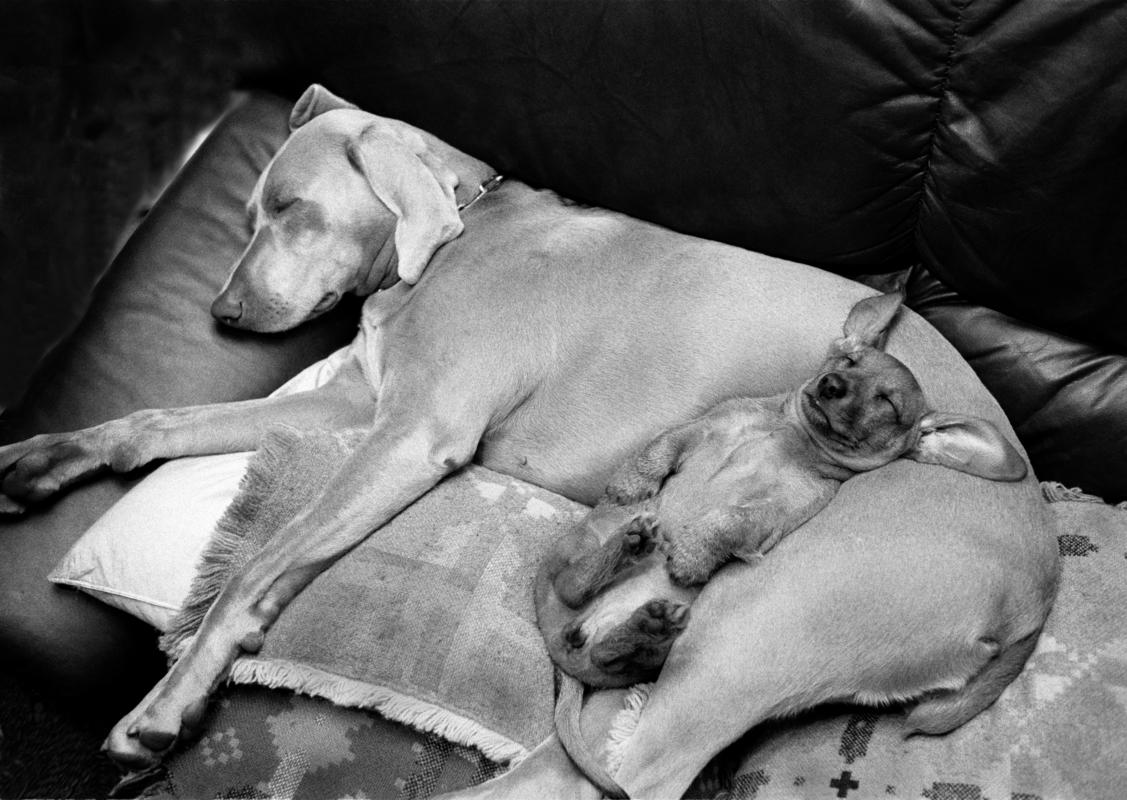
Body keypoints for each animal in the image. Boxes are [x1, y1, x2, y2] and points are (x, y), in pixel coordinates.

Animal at [540, 290, 1027, 694]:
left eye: (887, 403)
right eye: (847, 361)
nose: (831, 384)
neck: (789, 434)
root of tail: (566, 649)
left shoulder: (776, 513)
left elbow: (730, 521)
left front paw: (693, 552)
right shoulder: (700, 428)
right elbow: (661, 446)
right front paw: (633, 482)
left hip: (651, 650)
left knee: (604, 636)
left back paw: (644, 611)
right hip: (579, 545)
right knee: (574, 585)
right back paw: (631, 545)